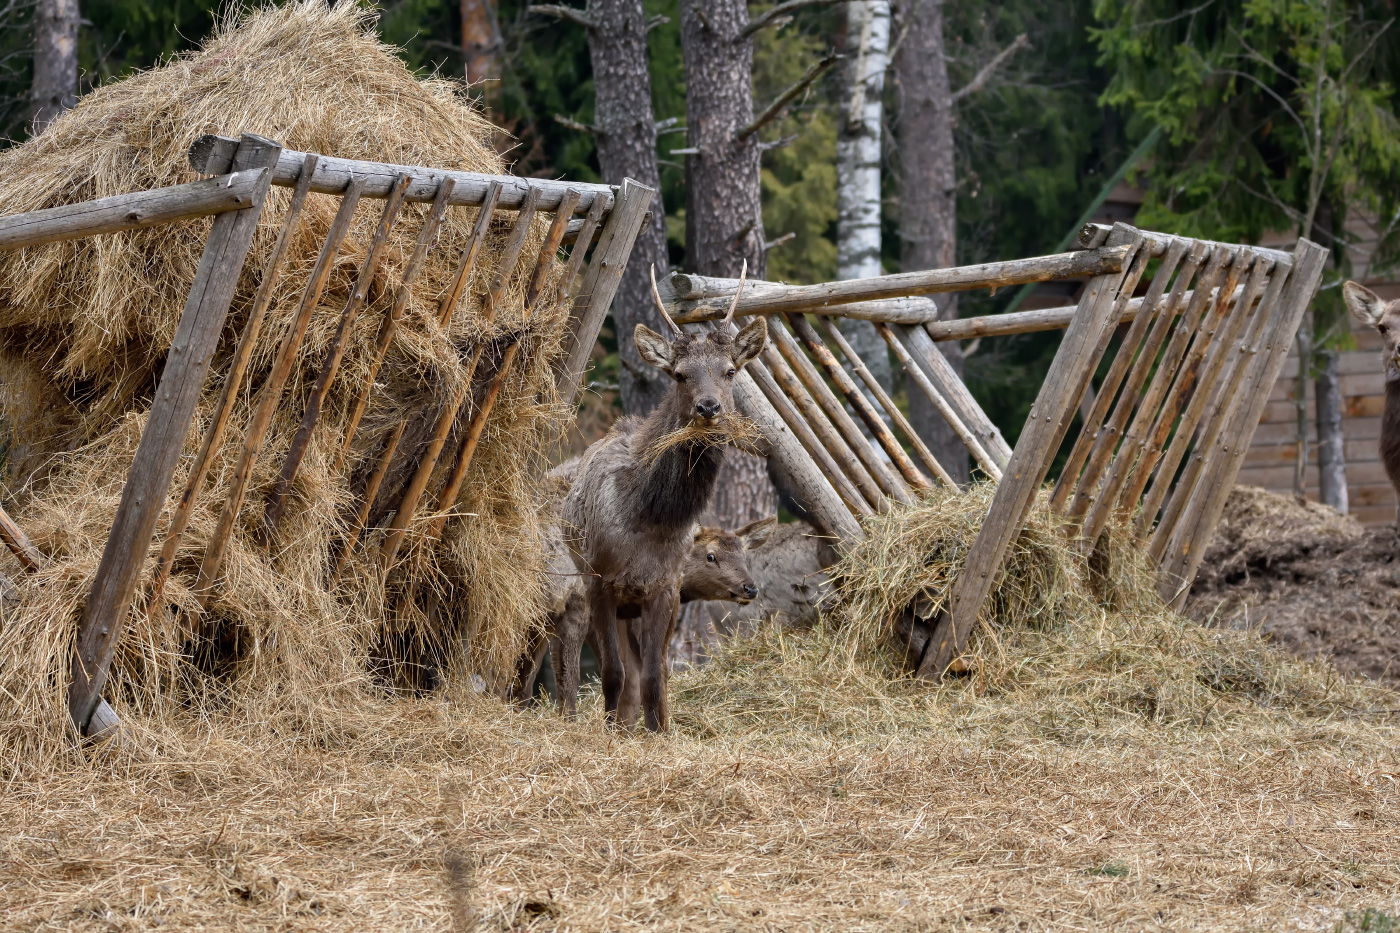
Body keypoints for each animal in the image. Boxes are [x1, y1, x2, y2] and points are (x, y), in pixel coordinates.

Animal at [557, 259, 767, 728]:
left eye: (730, 371)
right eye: (679, 374)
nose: (709, 407)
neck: (650, 520)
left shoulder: (666, 589)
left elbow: (657, 676)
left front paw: (659, 732)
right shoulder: (601, 583)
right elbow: (614, 674)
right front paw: (612, 732)